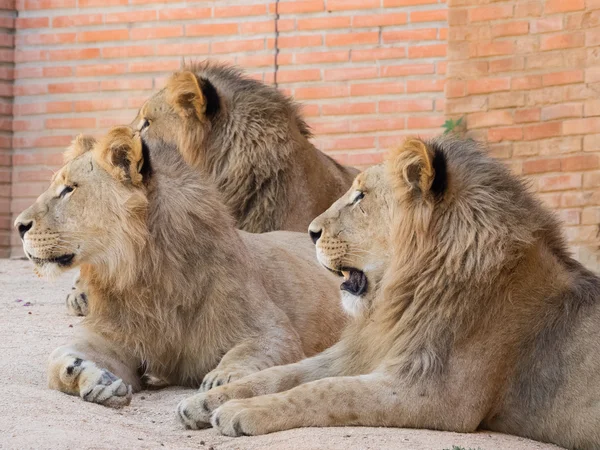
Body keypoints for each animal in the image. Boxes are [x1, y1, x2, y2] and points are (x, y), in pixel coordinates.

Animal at [15, 126, 346, 408]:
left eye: (69, 189)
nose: (19, 226)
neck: (143, 276)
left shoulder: (273, 330)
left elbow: (253, 352)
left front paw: (221, 380)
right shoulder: (118, 337)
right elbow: (57, 359)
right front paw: (94, 378)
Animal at [176, 135, 600, 448]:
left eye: (360, 196)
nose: (310, 232)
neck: (402, 297)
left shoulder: (435, 394)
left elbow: (326, 392)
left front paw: (241, 411)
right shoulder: (363, 353)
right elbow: (283, 373)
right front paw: (204, 400)